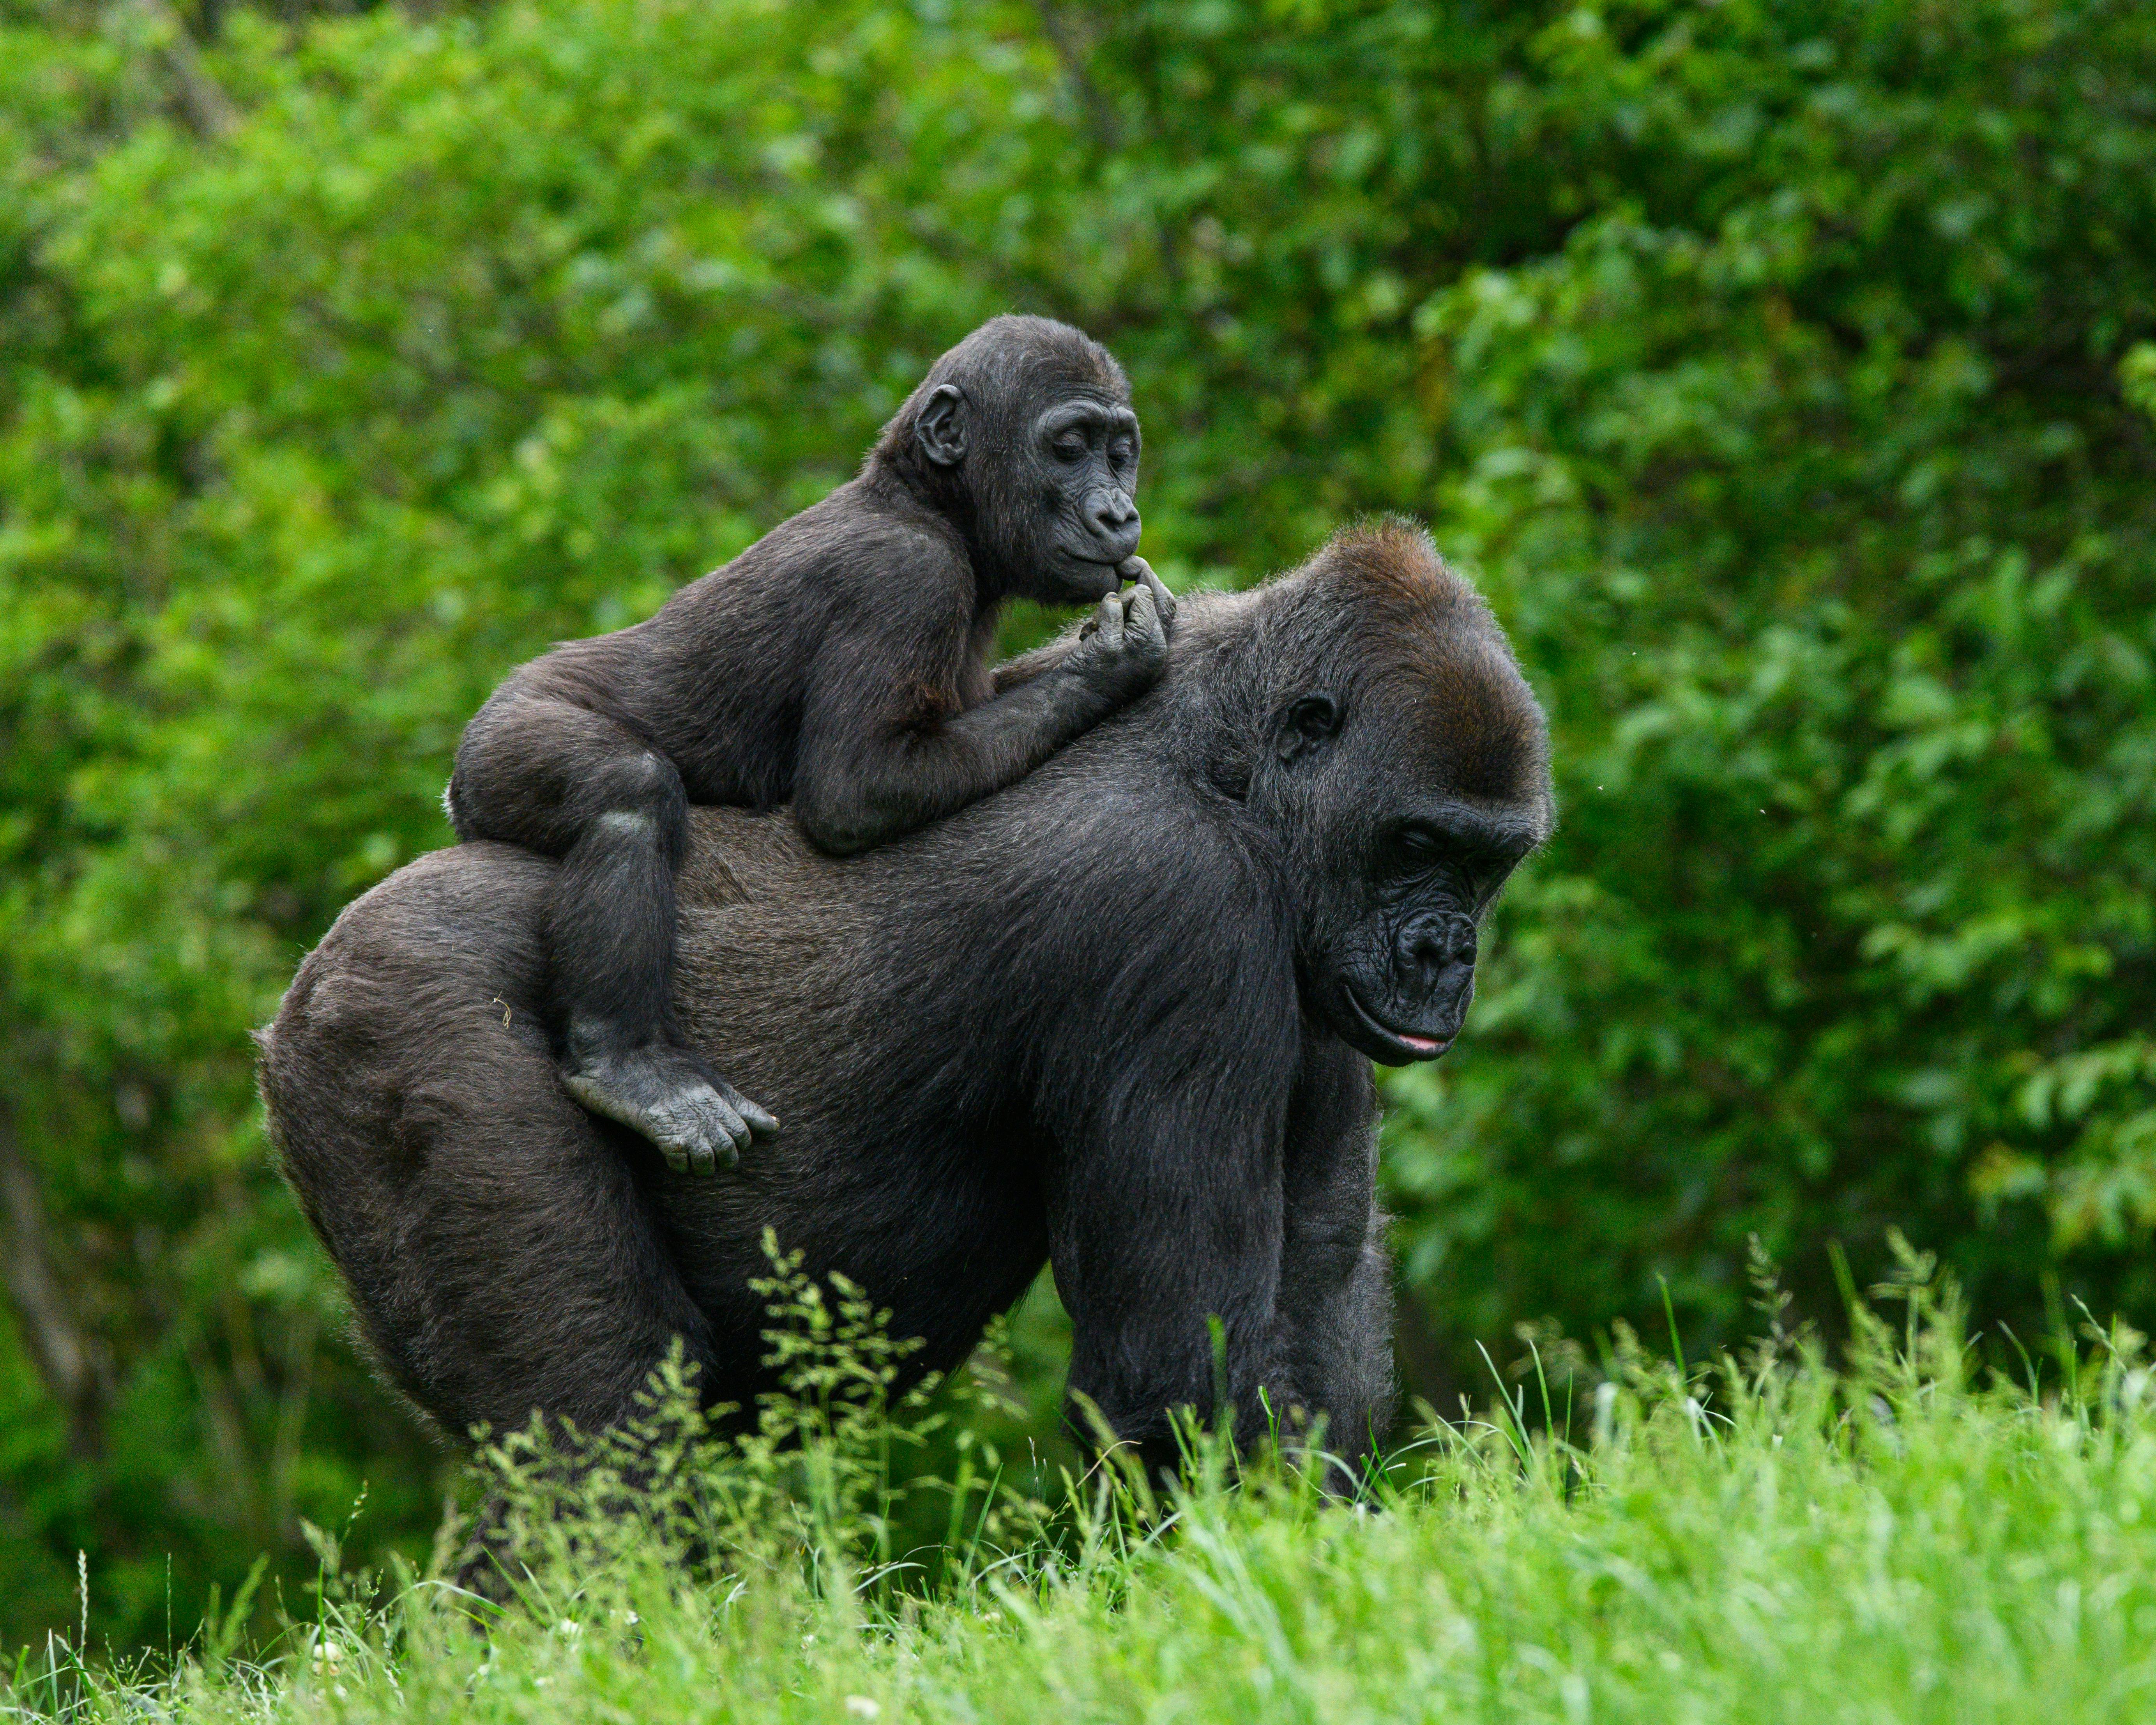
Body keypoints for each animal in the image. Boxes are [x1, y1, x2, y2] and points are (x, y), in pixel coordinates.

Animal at [445, 316, 1176, 1175]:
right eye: (1068, 447)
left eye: (1120, 450)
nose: (1118, 512)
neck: (928, 504)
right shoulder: (904, 582)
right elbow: (855, 789)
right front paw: (1119, 657)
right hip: (503, 737)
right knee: (626, 793)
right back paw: (629, 1066)